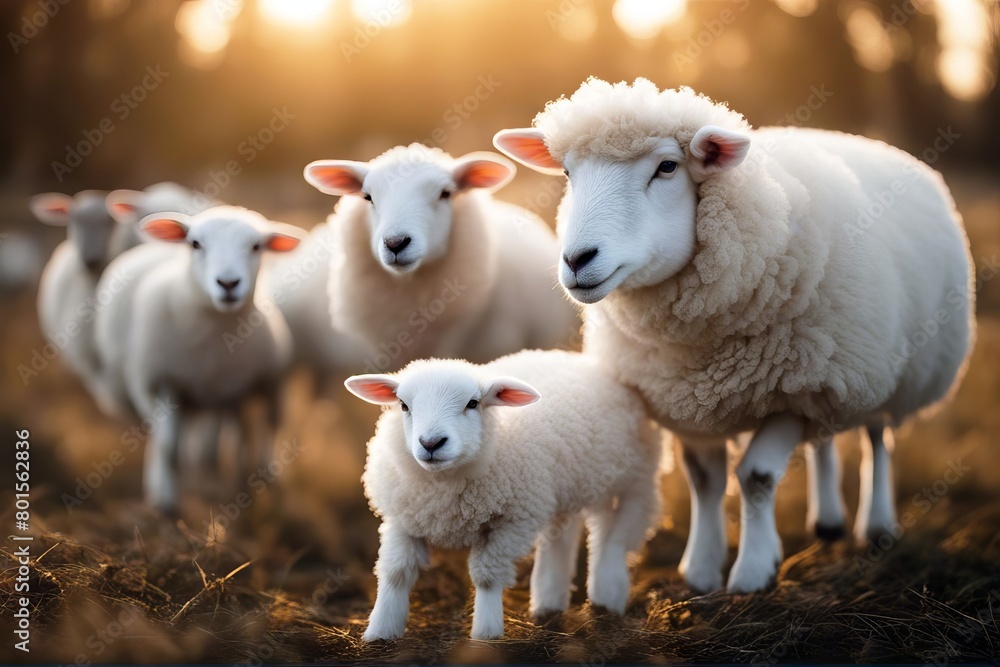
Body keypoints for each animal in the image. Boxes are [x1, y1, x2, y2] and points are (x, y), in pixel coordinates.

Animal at [123, 206, 302, 512]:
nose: (228, 283)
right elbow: (168, 446)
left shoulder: (245, 387)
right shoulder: (163, 383)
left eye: (256, 246)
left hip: (264, 389)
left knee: (264, 428)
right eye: (194, 244)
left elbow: (247, 438)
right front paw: (167, 502)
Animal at [346, 349, 661, 640]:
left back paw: (608, 599)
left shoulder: (513, 522)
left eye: (473, 403)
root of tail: (571, 356)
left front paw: (486, 634)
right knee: (562, 538)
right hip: (562, 488)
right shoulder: (402, 517)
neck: (444, 484)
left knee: (614, 537)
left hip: (634, 481)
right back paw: (550, 603)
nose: (431, 443)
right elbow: (396, 573)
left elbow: (486, 578)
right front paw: (380, 631)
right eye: (403, 405)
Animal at [494, 78, 975, 593]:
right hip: (833, 374)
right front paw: (702, 571)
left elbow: (757, 476)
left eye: (667, 167)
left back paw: (878, 523)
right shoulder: (692, 403)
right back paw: (827, 522)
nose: (577, 259)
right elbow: (705, 481)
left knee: (878, 438)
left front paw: (751, 573)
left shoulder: (795, 392)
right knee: (826, 439)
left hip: (879, 368)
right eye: (567, 172)